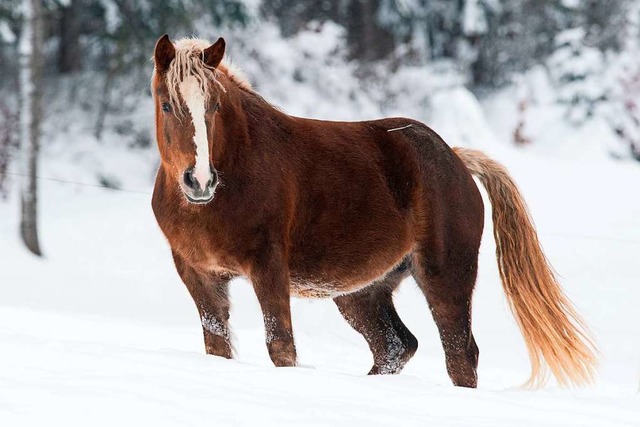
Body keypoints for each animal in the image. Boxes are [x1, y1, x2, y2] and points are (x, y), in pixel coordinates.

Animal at [149, 35, 596, 390]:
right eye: (167, 105)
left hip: (445, 276)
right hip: (363, 291)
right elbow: (217, 346)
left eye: (214, 106)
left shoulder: (268, 268)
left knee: (459, 356)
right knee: (396, 346)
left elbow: (281, 347)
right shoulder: (198, 273)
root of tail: (455, 158)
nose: (200, 181)